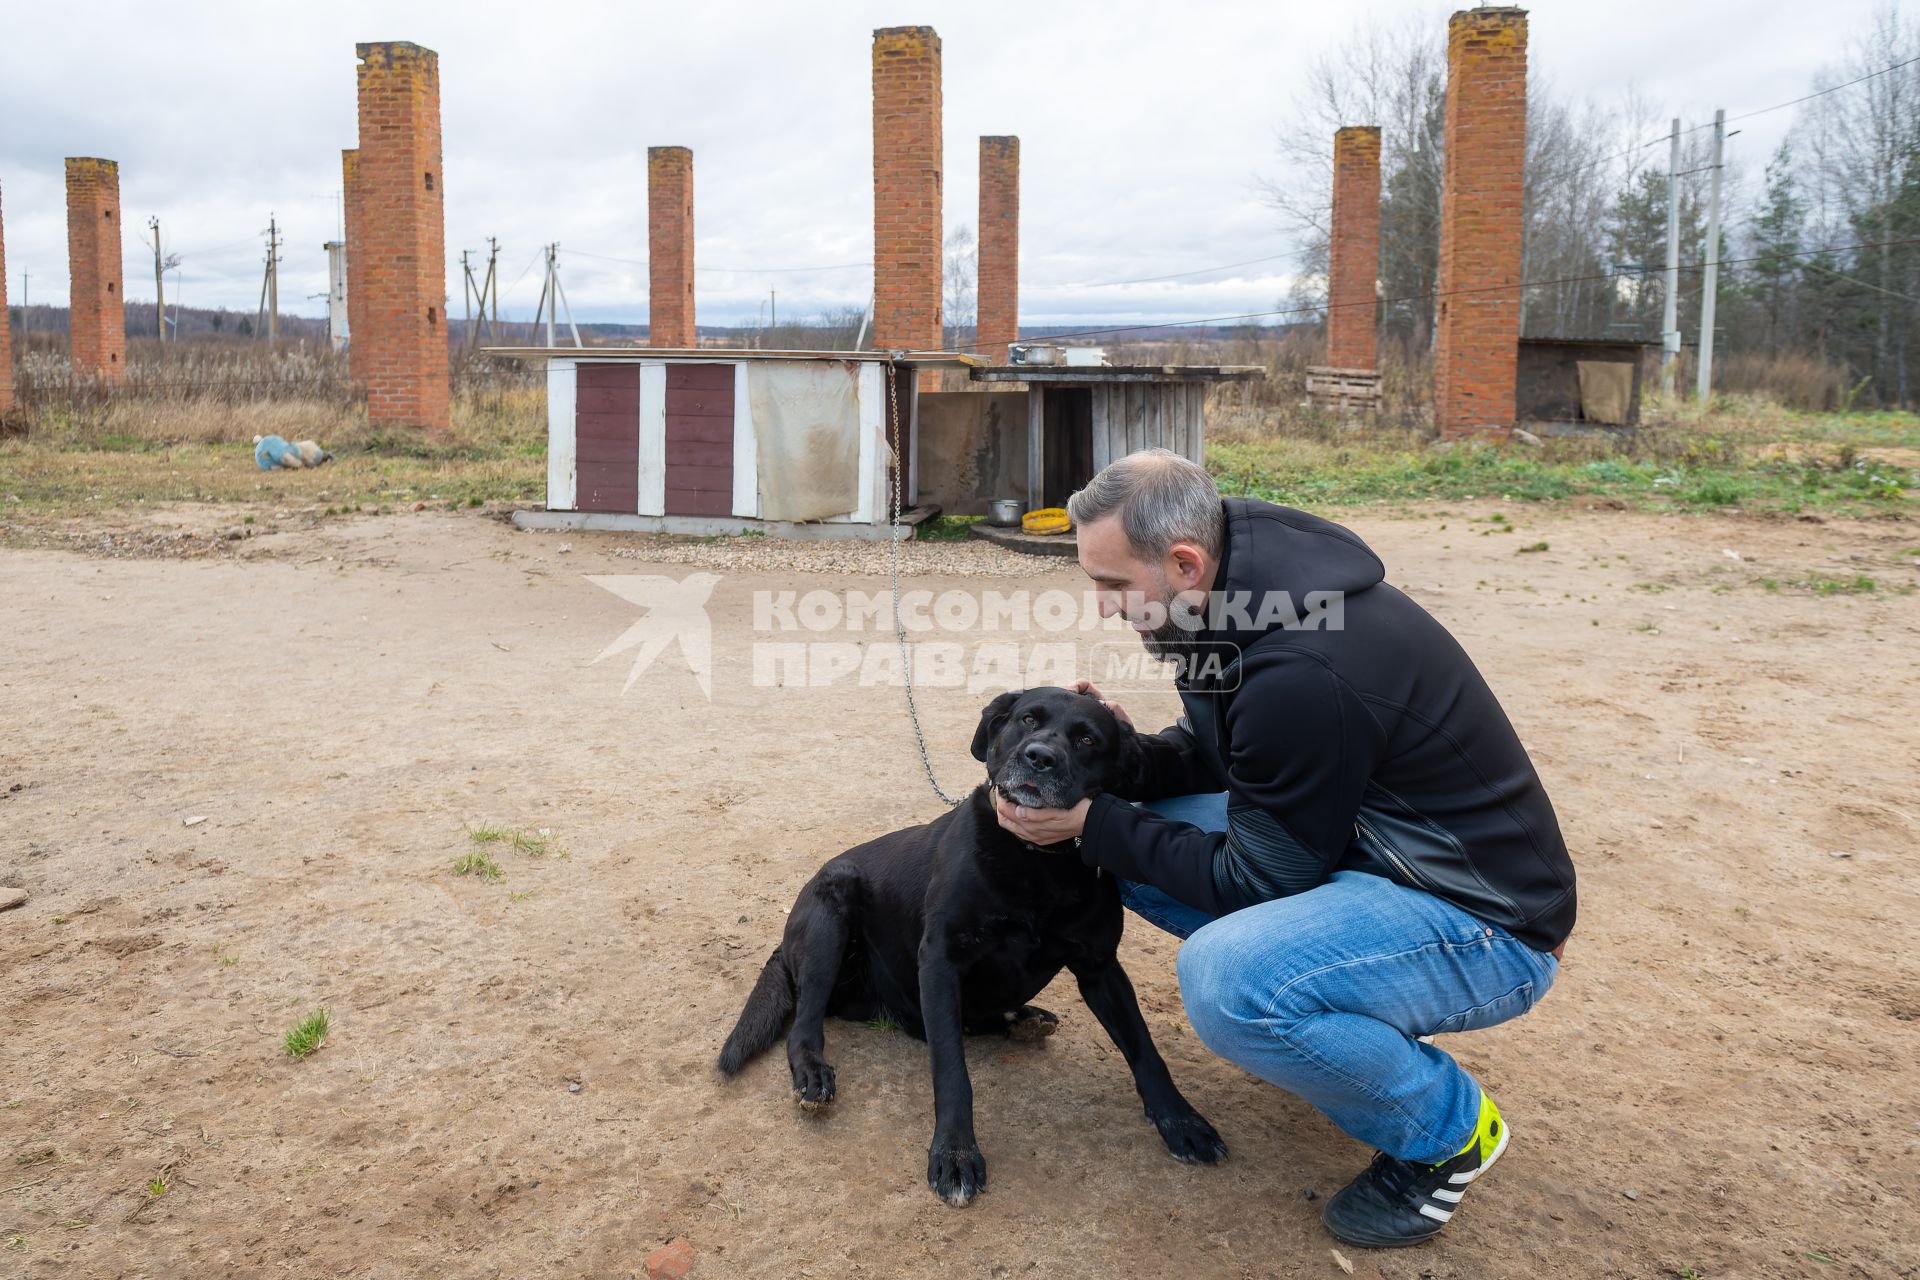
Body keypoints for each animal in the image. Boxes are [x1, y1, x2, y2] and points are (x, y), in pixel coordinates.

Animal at [721, 690, 1228, 1205]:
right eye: (1028, 720)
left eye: (1088, 739)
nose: (1039, 758)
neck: (1037, 862)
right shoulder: (940, 962)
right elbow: (952, 1071)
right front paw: (955, 1153)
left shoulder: (1101, 967)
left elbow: (1145, 1049)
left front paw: (1181, 1120)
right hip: (832, 913)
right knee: (807, 1022)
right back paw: (812, 1072)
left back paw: (1023, 1019)